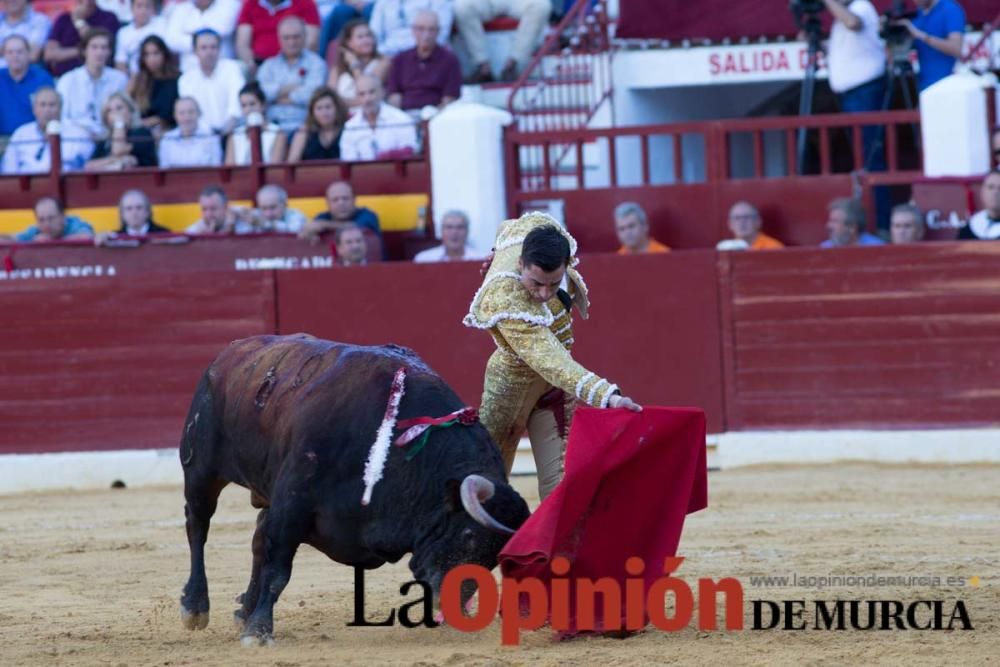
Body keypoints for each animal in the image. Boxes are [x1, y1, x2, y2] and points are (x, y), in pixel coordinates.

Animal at [180, 336, 532, 644]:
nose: (453, 605)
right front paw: (259, 632)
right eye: (468, 535)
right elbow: (279, 568)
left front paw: (251, 620)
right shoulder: (292, 503)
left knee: (255, 539)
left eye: (493, 557)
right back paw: (195, 607)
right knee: (198, 526)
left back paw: (244, 611)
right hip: (201, 468)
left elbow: (267, 553)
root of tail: (228, 353)